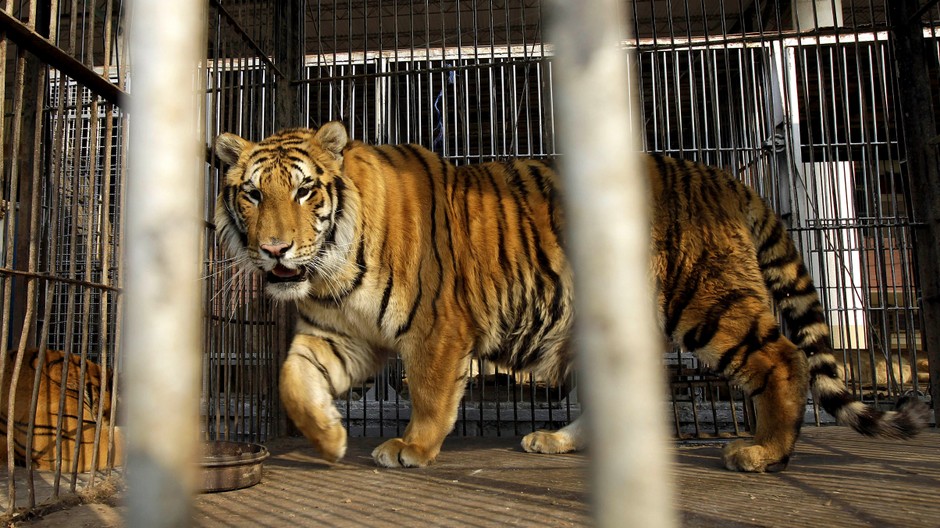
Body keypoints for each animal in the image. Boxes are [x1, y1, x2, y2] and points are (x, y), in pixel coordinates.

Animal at [213, 121, 929, 473]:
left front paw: (411, 449)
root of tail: (721, 174)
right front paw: (330, 439)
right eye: (251, 193)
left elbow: (430, 395)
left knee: (783, 359)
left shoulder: (438, 328)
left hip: (708, 303)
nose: (275, 249)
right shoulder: (339, 334)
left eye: (304, 190)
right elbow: (291, 381)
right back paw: (556, 441)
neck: (329, 269)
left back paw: (764, 453)